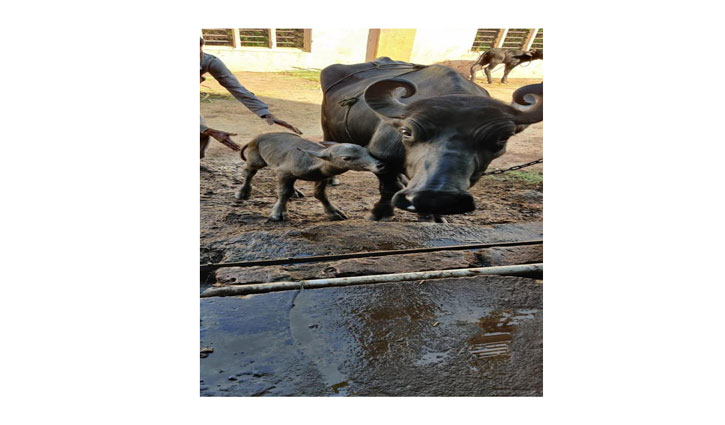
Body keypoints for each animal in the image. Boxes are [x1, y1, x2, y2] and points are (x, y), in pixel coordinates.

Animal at [320, 56, 540, 220]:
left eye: (502, 139)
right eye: (406, 132)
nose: (435, 197)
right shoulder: (381, 156)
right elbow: (388, 189)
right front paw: (381, 214)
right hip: (328, 128)